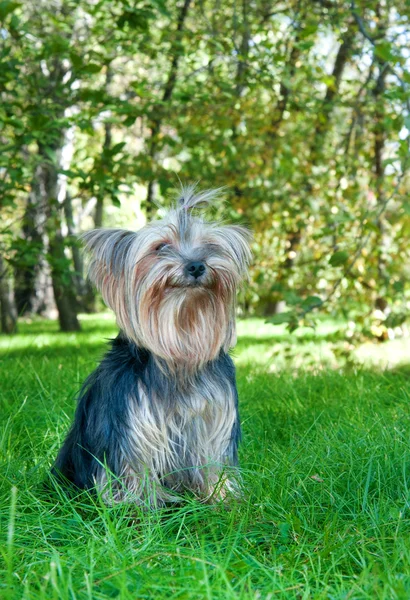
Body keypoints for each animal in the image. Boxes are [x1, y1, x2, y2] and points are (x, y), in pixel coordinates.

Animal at [52, 186, 251, 506]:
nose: (197, 265)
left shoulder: (212, 415)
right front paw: (140, 506)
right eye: (160, 247)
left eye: (210, 246)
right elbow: (134, 465)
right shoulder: (132, 419)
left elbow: (210, 458)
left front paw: (219, 496)